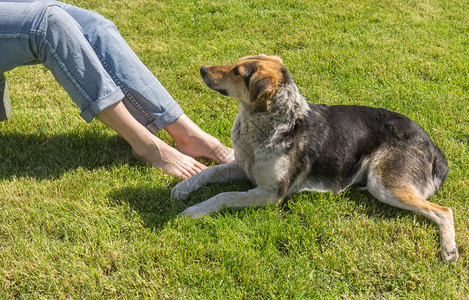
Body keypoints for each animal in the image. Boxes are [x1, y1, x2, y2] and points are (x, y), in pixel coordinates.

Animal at [171, 55, 458, 262]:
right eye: (234, 63)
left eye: (237, 72)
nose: (202, 69)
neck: (268, 122)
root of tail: (431, 143)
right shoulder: (244, 167)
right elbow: (208, 172)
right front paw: (182, 188)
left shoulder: (271, 194)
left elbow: (224, 195)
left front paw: (194, 210)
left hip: (383, 184)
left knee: (443, 210)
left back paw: (449, 249)